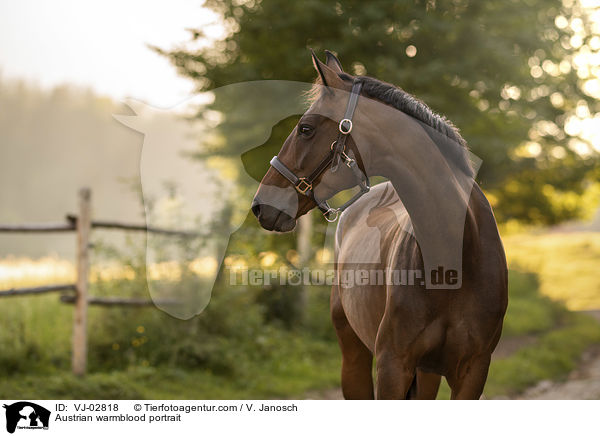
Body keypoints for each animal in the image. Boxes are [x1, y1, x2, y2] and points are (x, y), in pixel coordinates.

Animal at [251, 50, 508, 398]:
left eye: (305, 129)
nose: (261, 204)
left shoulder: (473, 371)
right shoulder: (392, 367)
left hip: (426, 376)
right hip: (354, 358)